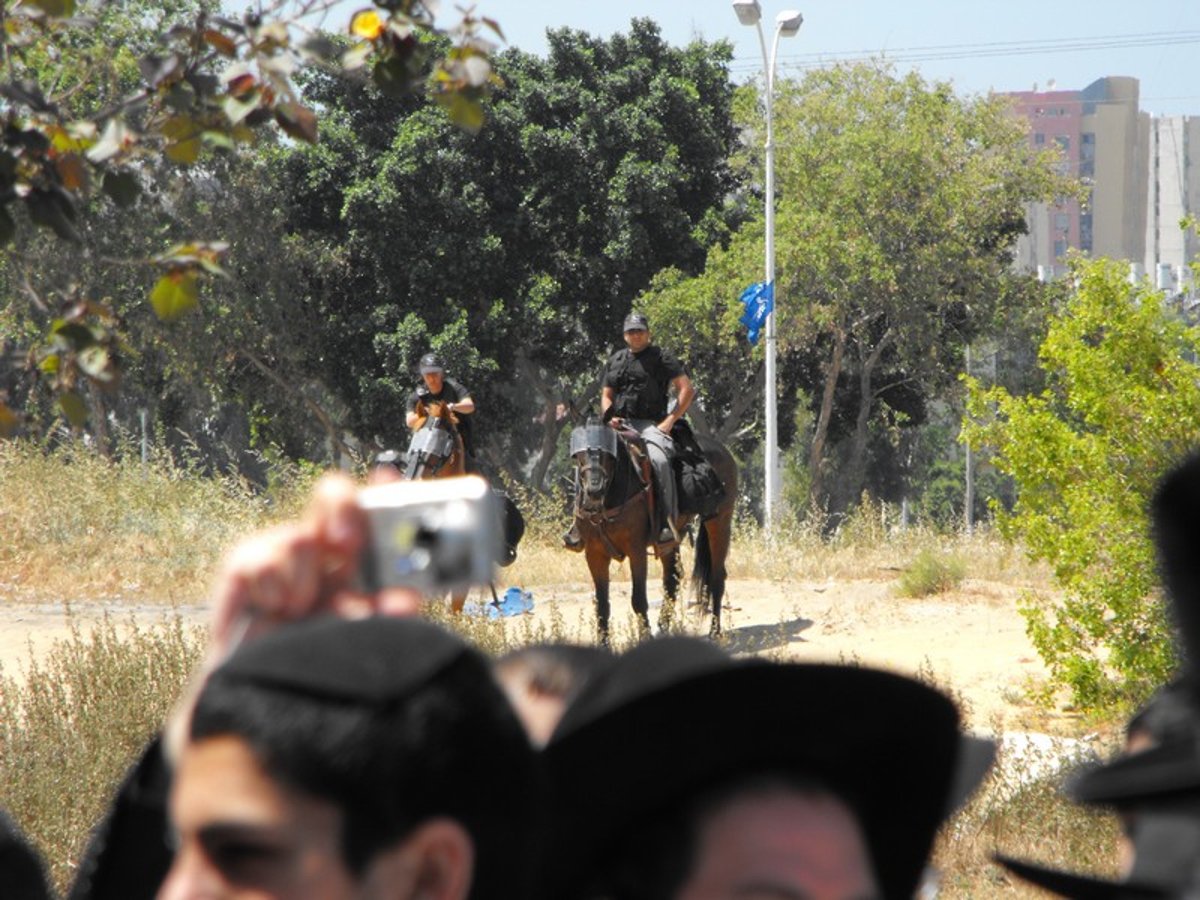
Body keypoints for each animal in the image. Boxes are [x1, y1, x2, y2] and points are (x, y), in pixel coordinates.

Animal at [566, 420, 734, 643]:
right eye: (579, 453)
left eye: (609, 453)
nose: (594, 490)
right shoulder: (594, 554)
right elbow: (601, 606)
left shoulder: (636, 551)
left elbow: (638, 600)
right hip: (670, 541)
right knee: (672, 578)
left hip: (720, 522)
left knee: (716, 577)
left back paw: (715, 631)